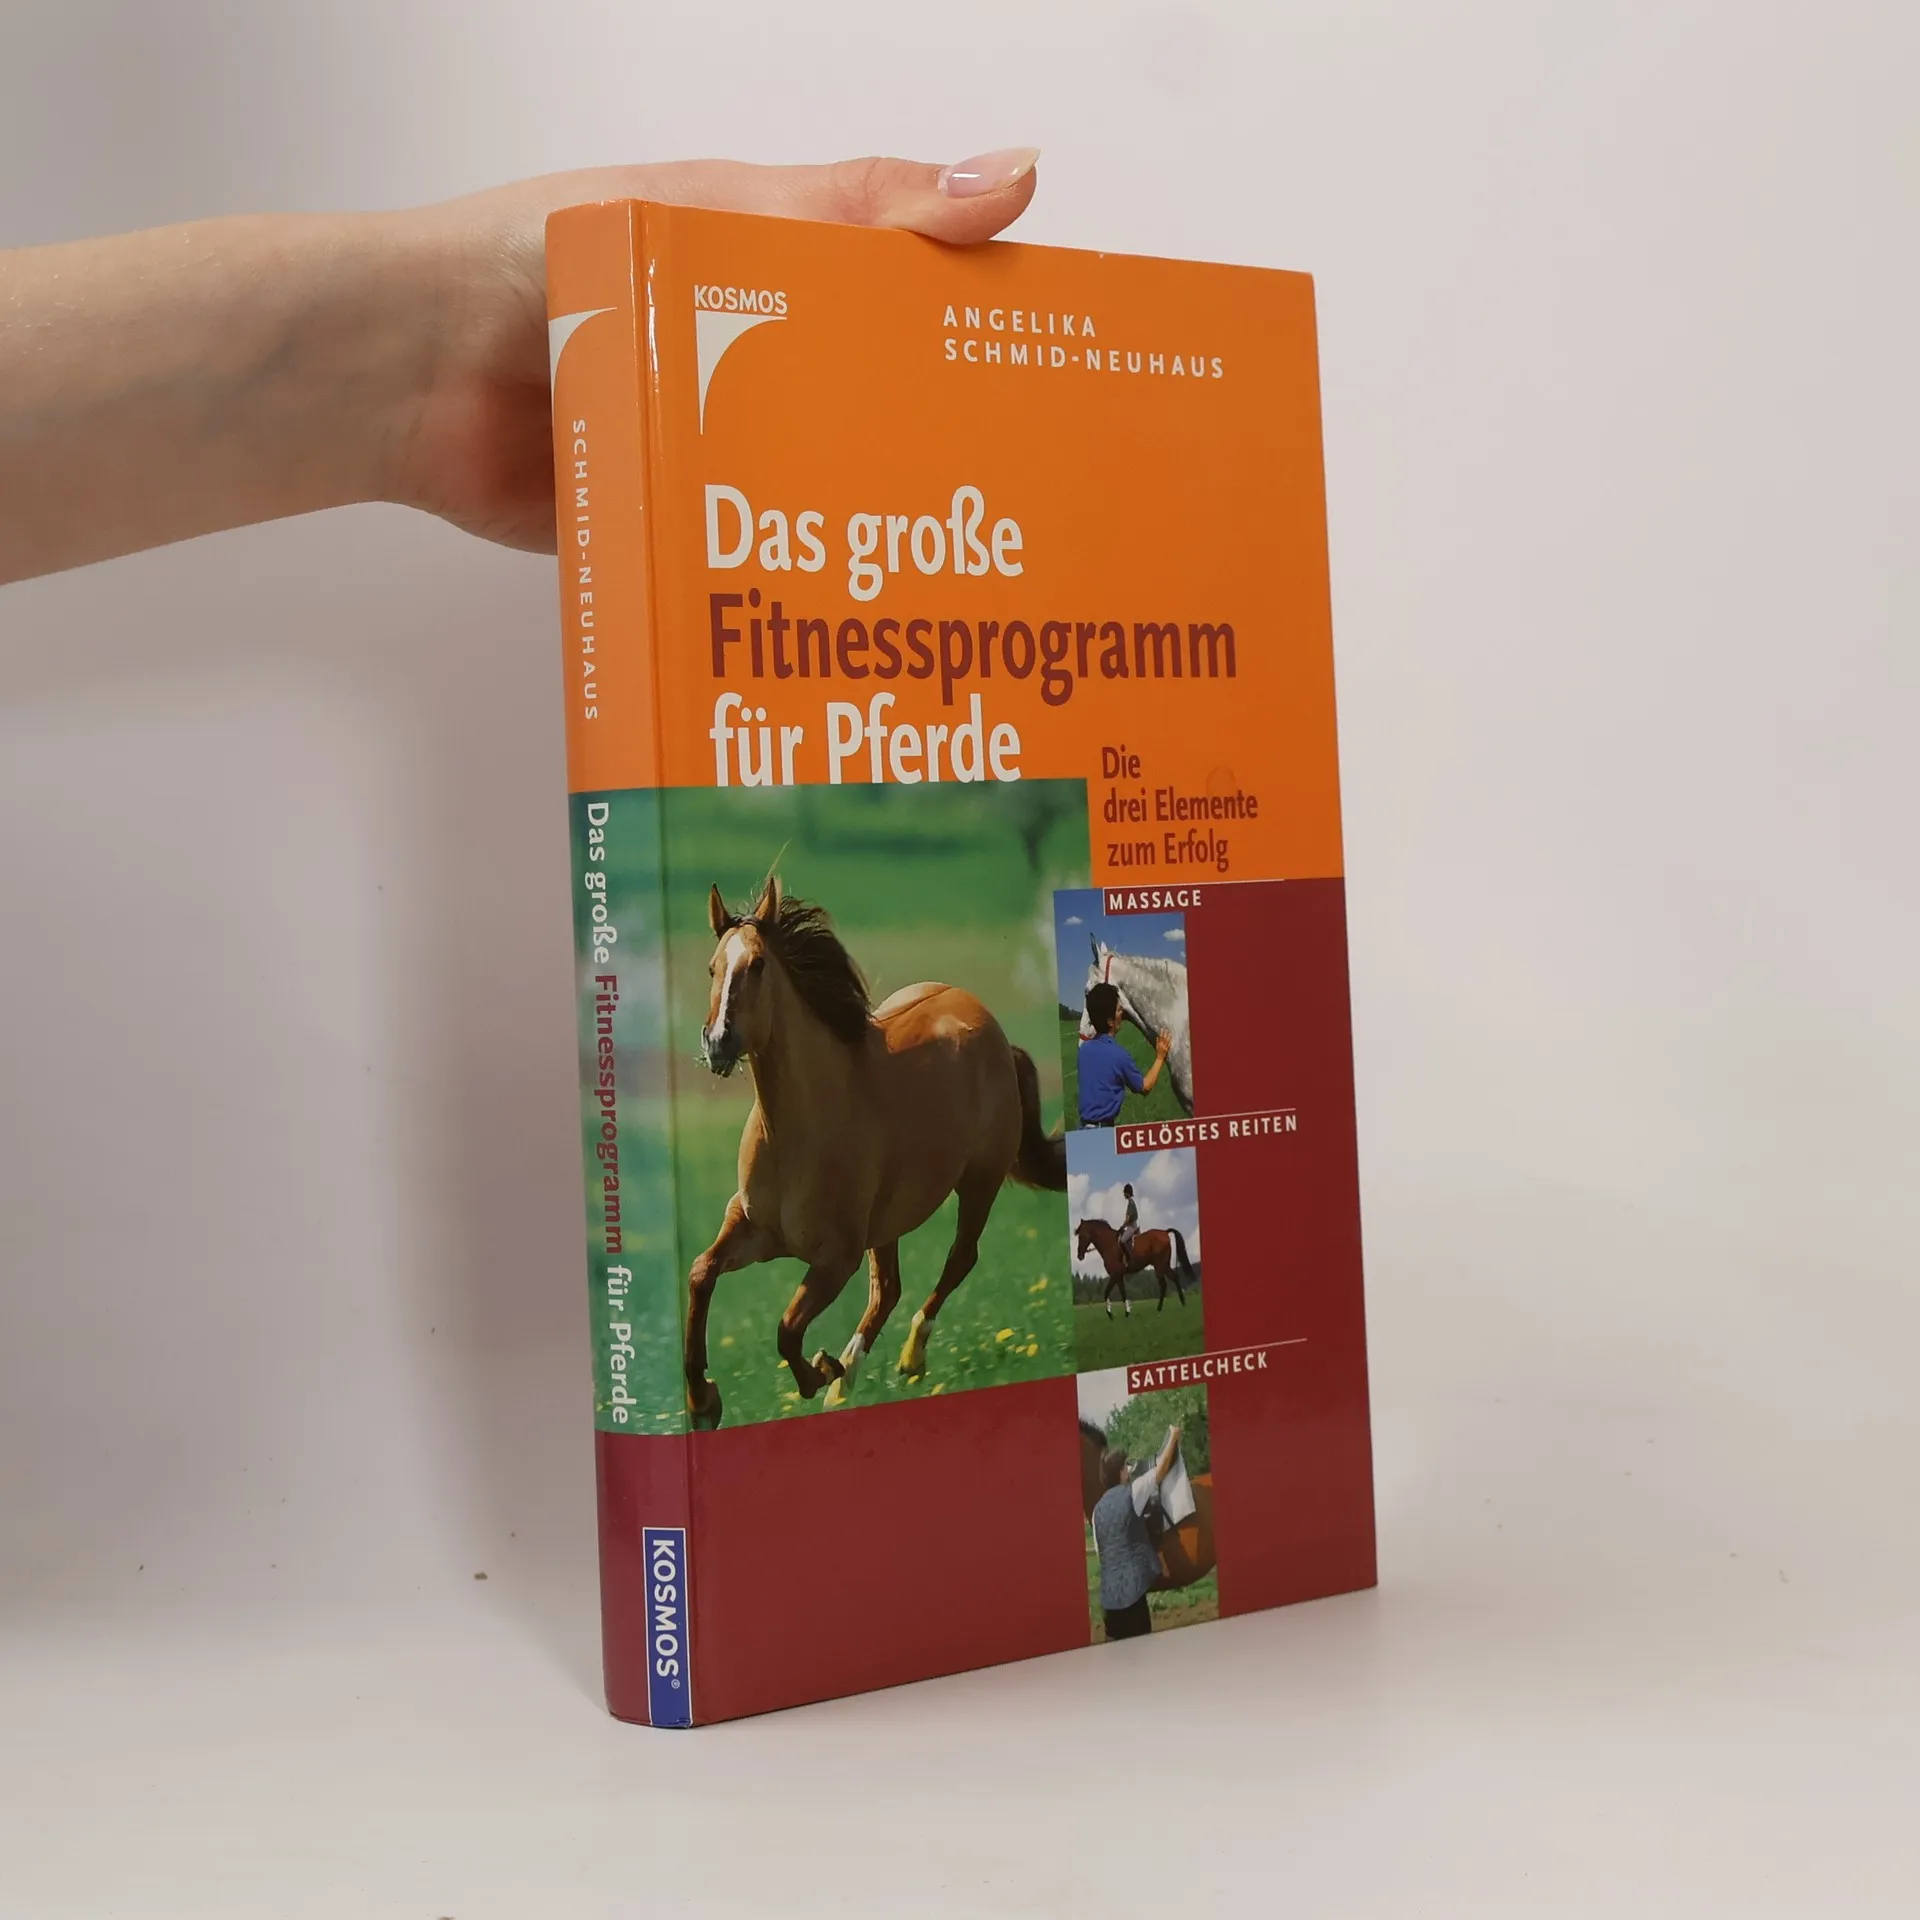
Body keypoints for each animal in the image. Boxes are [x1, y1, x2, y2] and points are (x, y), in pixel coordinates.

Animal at [684, 874, 1067, 1428]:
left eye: (756, 965)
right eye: (713, 967)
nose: (718, 1043)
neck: (795, 1133)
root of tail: (993, 1029)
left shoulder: (837, 1256)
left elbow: (787, 1328)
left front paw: (819, 1371)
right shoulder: (754, 1228)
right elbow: (700, 1275)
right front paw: (702, 1402)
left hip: (979, 1181)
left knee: (959, 1259)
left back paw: (904, 1359)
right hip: (887, 1222)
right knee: (888, 1288)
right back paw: (846, 1385)